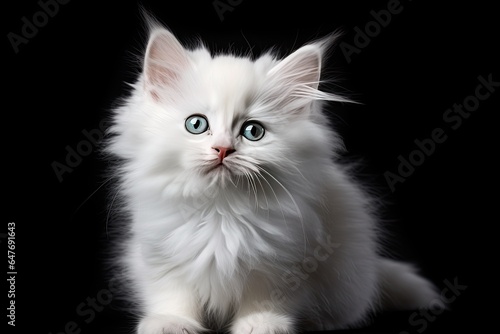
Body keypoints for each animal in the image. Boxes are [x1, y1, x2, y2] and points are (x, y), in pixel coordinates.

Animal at [106, 21, 438, 334]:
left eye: (253, 131)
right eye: (196, 125)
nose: (223, 149)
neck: (221, 209)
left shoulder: (285, 262)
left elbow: (265, 298)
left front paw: (262, 324)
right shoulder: (161, 255)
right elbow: (173, 295)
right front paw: (171, 323)